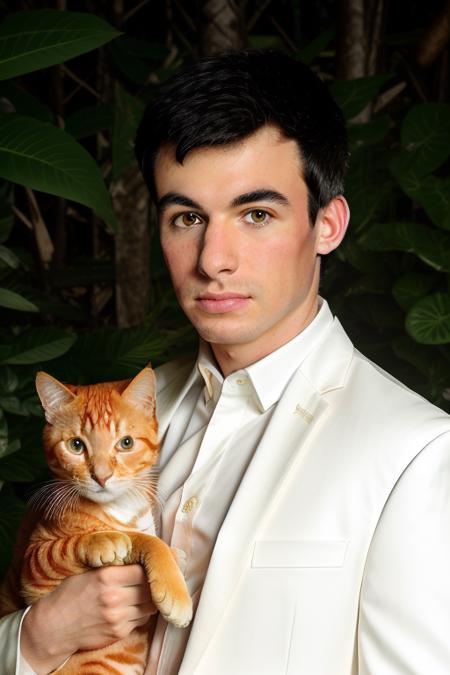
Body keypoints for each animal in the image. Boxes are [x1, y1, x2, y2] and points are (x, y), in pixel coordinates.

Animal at [0, 368, 192, 672]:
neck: (119, 507)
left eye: (126, 443)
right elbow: (138, 539)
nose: (101, 477)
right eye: (76, 445)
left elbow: (145, 535)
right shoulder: (35, 565)